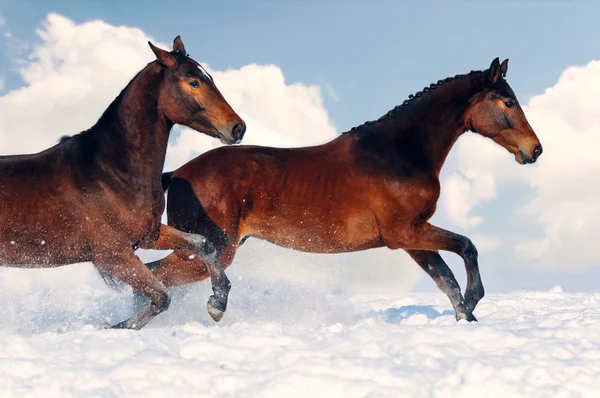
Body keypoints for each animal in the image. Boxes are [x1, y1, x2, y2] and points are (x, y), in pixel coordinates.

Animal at [0, 36, 246, 330]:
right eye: (194, 82)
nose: (238, 128)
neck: (113, 173)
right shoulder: (113, 256)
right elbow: (161, 297)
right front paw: (108, 327)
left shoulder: (148, 236)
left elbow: (203, 243)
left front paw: (218, 302)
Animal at [116, 56, 540, 324]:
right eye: (507, 101)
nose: (534, 150)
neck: (399, 152)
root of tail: (177, 174)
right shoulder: (405, 233)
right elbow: (467, 248)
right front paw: (474, 299)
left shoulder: (412, 239)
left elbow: (447, 282)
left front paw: (467, 317)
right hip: (215, 247)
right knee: (155, 274)